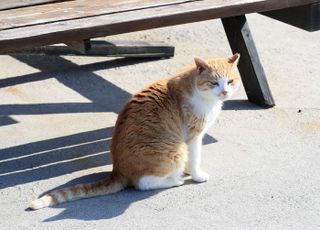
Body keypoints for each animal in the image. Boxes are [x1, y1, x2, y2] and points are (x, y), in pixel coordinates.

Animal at [28, 53, 240, 209]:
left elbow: (191, 160)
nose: (224, 92)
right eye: (214, 83)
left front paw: (188, 170)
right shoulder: (193, 136)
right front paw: (196, 175)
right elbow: (195, 158)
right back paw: (174, 179)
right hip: (174, 150)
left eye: (230, 81)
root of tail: (118, 170)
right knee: (143, 183)